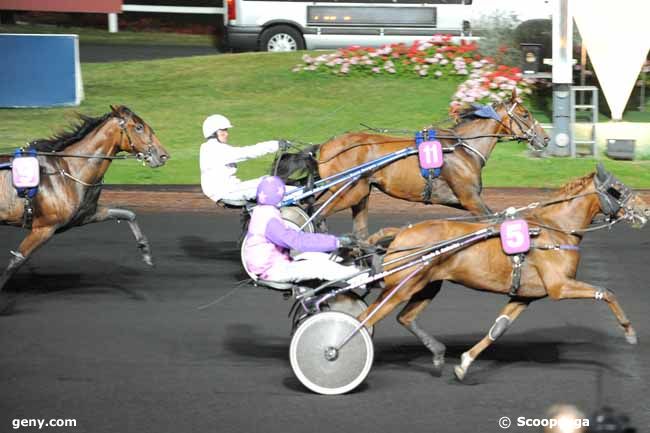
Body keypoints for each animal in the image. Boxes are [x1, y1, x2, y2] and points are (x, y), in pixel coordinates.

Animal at [0, 105, 170, 292]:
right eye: (139, 127)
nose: (163, 155)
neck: (67, 172)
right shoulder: (43, 228)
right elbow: (17, 260)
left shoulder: (87, 215)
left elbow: (127, 214)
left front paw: (145, 250)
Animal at [274, 90, 548, 236]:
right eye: (525, 114)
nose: (545, 138)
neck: (461, 148)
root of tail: (324, 147)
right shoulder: (470, 198)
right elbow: (493, 221)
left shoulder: (461, 200)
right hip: (349, 190)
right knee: (316, 214)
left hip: (360, 192)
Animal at [360, 164, 648, 380]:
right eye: (617, 190)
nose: (645, 208)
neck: (553, 229)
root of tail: (401, 232)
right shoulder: (560, 285)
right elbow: (606, 291)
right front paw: (629, 331)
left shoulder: (524, 296)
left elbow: (497, 329)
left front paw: (464, 363)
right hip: (402, 287)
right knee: (366, 318)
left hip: (427, 285)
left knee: (405, 318)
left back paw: (438, 353)